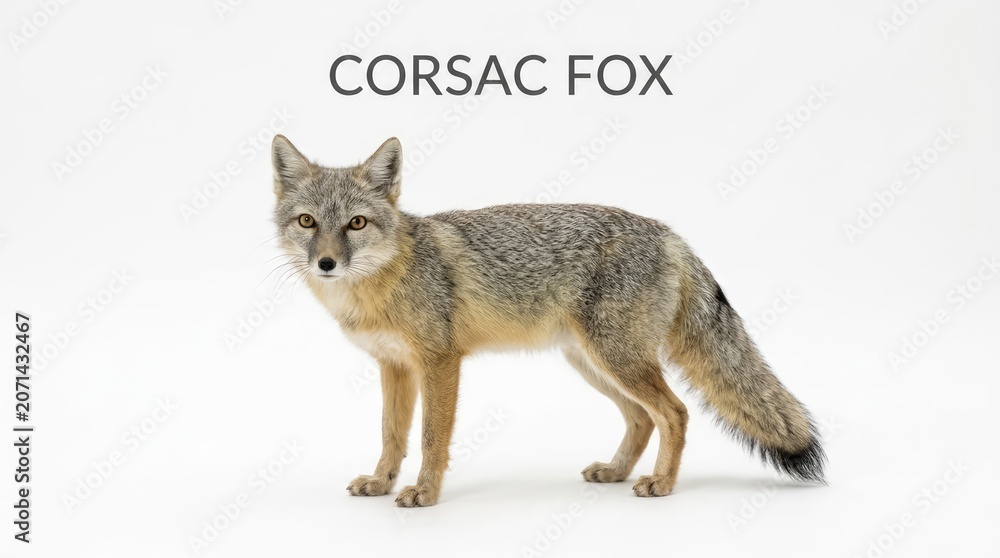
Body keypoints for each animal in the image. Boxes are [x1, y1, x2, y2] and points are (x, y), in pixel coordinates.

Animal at [270, 134, 826, 507]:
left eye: (356, 223)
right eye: (307, 222)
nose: (326, 264)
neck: (379, 286)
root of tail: (669, 233)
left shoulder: (440, 362)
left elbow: (430, 438)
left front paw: (425, 492)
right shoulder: (395, 366)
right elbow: (391, 436)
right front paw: (381, 482)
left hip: (617, 360)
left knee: (675, 412)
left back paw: (662, 483)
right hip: (593, 364)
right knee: (643, 417)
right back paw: (617, 472)